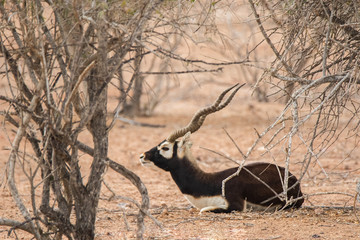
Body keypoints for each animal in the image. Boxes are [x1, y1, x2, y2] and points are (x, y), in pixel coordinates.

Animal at [139, 83, 302, 213]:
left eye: (165, 148)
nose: (142, 156)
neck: (207, 183)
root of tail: (294, 180)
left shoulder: (235, 205)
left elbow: (203, 210)